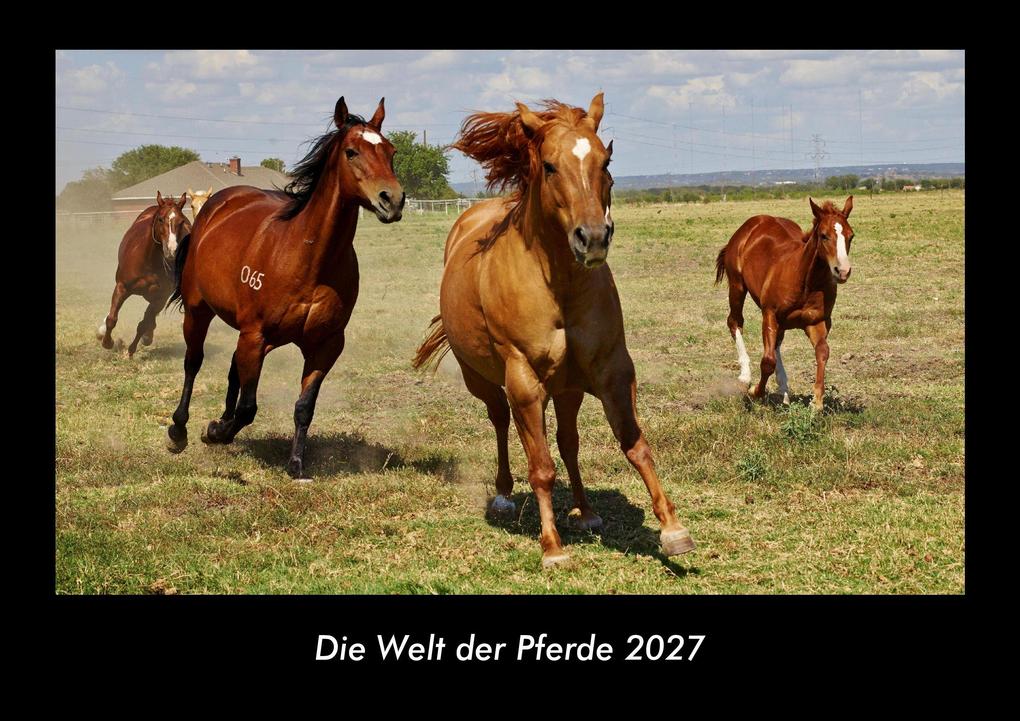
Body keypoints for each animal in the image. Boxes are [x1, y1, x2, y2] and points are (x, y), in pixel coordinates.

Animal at [97, 191, 191, 356]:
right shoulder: (122, 287)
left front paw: (130, 351)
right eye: (160, 219)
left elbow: (144, 323)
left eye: (181, 221)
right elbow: (112, 319)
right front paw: (108, 342)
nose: (172, 251)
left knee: (150, 319)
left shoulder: (161, 297)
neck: (149, 262)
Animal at [165, 96, 405, 479]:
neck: (308, 259)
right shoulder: (255, 335)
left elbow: (304, 406)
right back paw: (180, 430)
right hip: (200, 311)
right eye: (352, 151)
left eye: (391, 151)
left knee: (233, 369)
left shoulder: (325, 345)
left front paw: (295, 464)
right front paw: (216, 432)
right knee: (193, 362)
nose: (392, 200)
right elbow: (248, 407)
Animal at [412, 94, 695, 568]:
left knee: (567, 441)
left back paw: (585, 510)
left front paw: (673, 530)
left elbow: (634, 445)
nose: (593, 238)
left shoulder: (611, 370)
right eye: (548, 165)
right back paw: (505, 496)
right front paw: (552, 547)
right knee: (502, 422)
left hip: (567, 388)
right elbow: (541, 467)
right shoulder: (524, 380)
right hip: (485, 380)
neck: (558, 285)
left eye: (605, 160)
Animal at [714, 196, 855, 410]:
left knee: (777, 342)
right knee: (735, 321)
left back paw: (784, 389)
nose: (843, 271)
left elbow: (823, 351)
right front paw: (755, 391)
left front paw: (817, 402)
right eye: (824, 236)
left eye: (851, 236)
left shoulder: (818, 322)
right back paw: (745, 376)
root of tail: (752, 224)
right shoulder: (769, 314)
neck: (805, 281)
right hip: (737, 286)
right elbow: (767, 361)